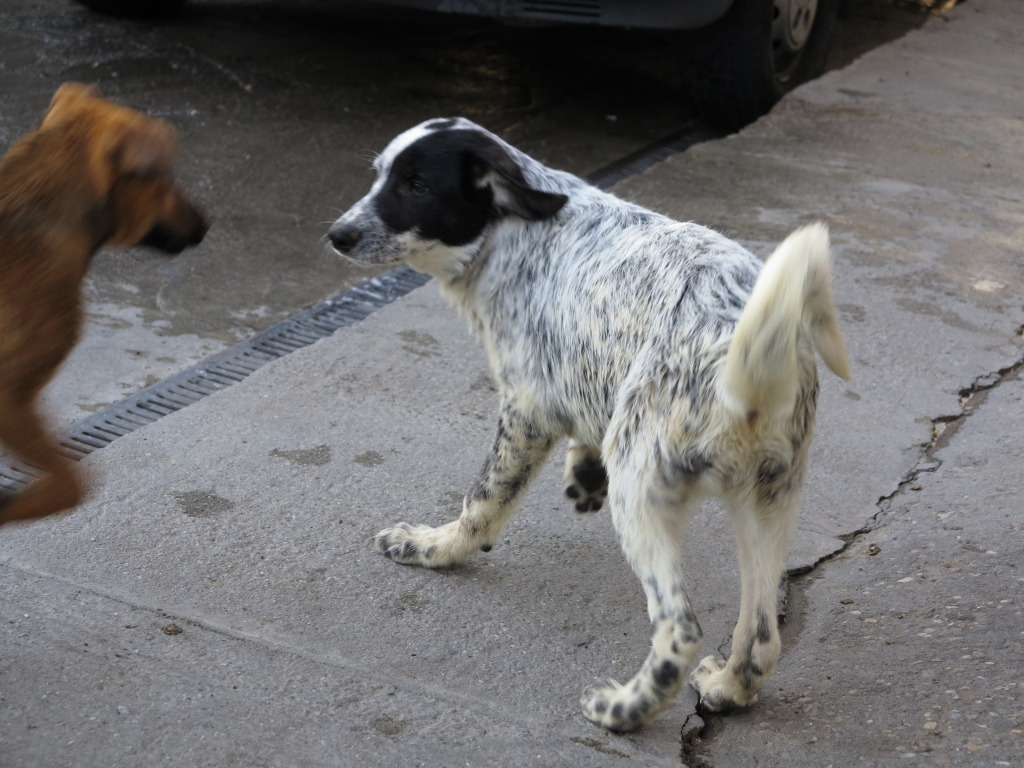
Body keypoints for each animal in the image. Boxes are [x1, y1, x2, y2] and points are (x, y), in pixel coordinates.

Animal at [325, 118, 847, 733]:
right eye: (379, 175)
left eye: (417, 186)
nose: (337, 235)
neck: (516, 236)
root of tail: (744, 354)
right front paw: (583, 469)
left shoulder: (525, 410)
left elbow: (480, 504)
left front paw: (431, 547)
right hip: (767, 502)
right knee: (763, 635)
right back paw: (726, 688)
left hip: (642, 491)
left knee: (680, 628)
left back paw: (625, 709)